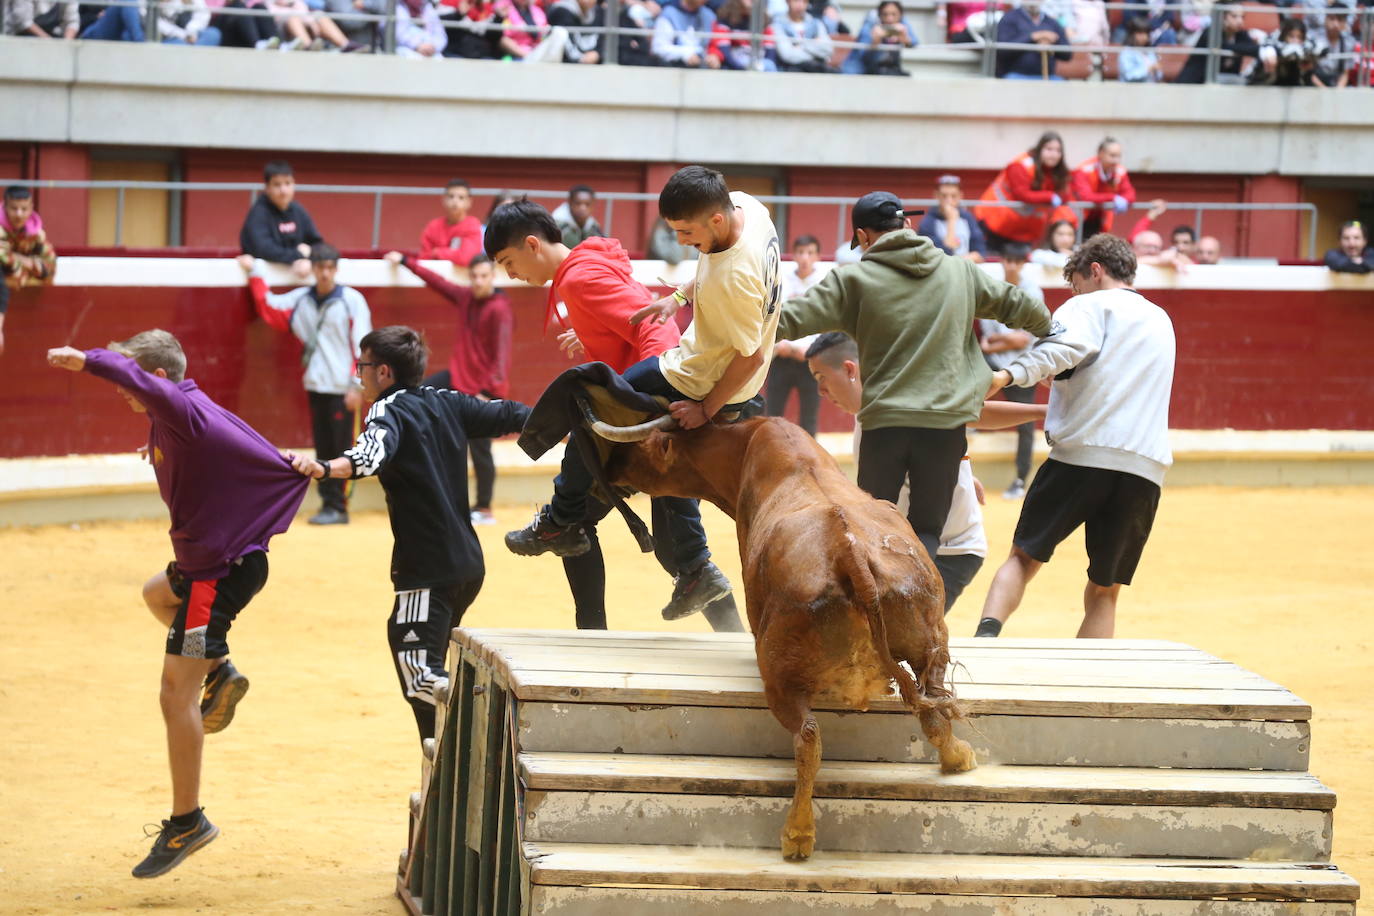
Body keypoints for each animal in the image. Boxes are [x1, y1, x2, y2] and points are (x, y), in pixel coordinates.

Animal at [601, 414, 978, 862]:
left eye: (645, 448)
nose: (611, 465)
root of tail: (849, 553)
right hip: (932, 635)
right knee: (935, 705)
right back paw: (959, 757)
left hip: (781, 677)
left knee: (808, 737)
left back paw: (797, 834)